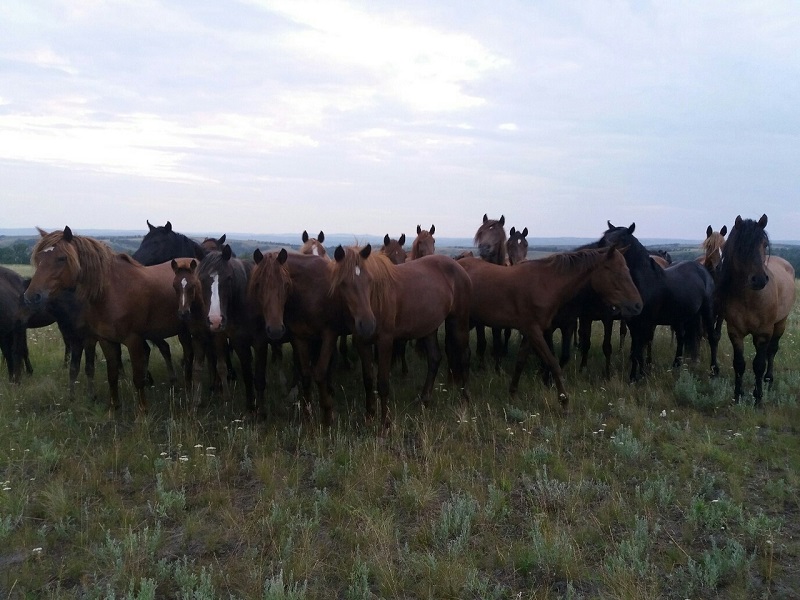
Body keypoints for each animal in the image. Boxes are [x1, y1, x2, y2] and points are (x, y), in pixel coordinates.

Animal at [23, 225, 192, 412]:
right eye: (39, 258)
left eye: (62, 258)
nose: (31, 296)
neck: (114, 292)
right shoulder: (106, 341)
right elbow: (112, 376)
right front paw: (114, 408)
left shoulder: (133, 340)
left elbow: (137, 379)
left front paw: (143, 411)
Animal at [330, 244, 472, 426]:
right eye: (343, 283)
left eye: (369, 280)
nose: (367, 325)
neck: (375, 300)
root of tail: (459, 267)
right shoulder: (362, 343)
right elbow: (368, 380)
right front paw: (369, 416)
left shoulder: (385, 341)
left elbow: (383, 383)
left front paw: (385, 423)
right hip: (429, 327)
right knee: (434, 358)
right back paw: (424, 400)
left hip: (458, 322)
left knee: (464, 355)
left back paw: (465, 398)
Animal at [460, 246, 640, 406]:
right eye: (617, 273)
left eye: (627, 270)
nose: (638, 305)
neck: (545, 284)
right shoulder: (535, 331)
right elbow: (553, 362)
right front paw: (564, 401)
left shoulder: (530, 332)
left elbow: (521, 362)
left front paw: (513, 394)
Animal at [716, 216, 796, 404]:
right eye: (741, 245)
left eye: (764, 244)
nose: (759, 280)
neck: (750, 298)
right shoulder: (735, 332)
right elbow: (739, 364)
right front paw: (738, 395)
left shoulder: (763, 332)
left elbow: (759, 365)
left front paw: (758, 399)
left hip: (780, 323)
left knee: (772, 350)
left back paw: (768, 379)